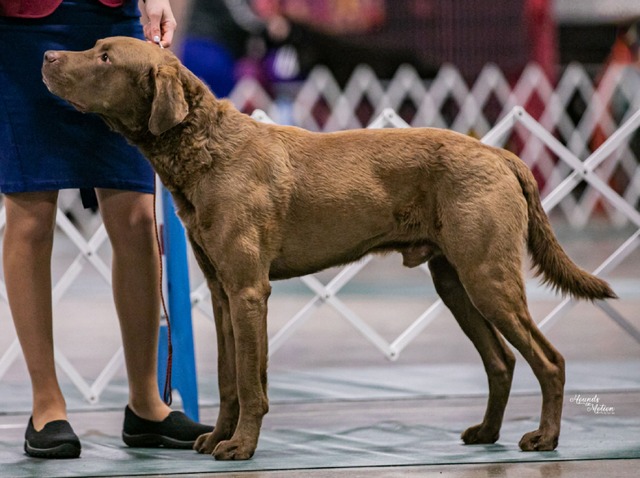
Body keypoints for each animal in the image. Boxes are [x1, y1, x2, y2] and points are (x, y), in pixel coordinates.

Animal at [41, 36, 616, 460]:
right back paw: (485, 433)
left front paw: (241, 447)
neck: (205, 148)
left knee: (549, 360)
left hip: (487, 275)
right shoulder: (223, 292)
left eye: (105, 56)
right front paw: (216, 438)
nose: (46, 56)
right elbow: (228, 378)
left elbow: (249, 380)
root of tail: (500, 154)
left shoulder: (249, 290)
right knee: (501, 361)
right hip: (454, 281)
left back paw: (545, 439)